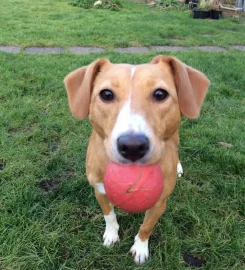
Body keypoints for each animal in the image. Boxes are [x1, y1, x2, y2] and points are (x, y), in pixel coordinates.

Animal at [64, 54, 210, 264]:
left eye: (160, 94)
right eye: (106, 94)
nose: (132, 146)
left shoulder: (160, 203)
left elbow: (147, 227)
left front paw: (140, 248)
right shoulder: (99, 190)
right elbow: (109, 215)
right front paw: (111, 235)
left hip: (175, 134)